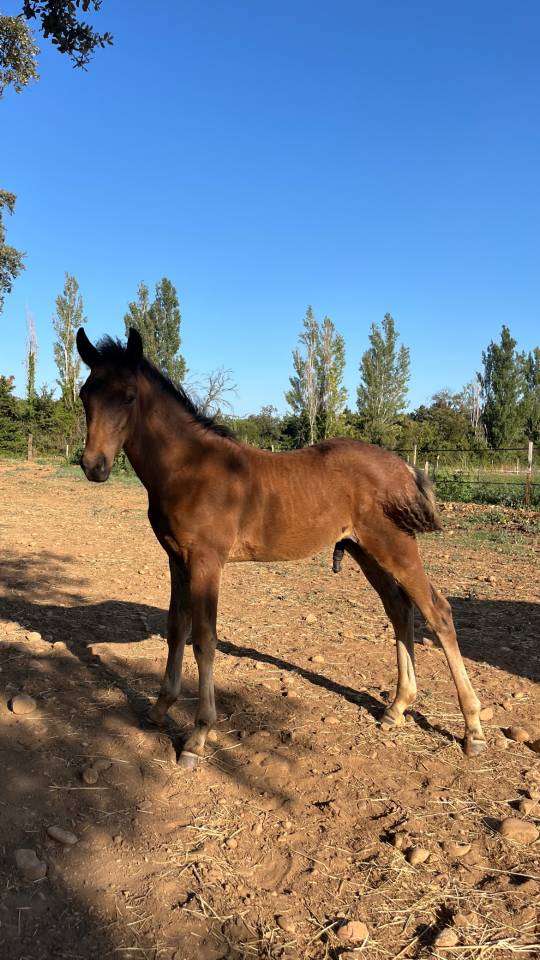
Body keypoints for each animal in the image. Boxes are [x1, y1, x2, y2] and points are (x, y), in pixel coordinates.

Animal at [76, 327, 487, 767]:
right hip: (365, 551)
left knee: (437, 612)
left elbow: (204, 639)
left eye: (129, 396)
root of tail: (404, 466)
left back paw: (473, 729)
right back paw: (396, 708)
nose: (94, 466)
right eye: (85, 394)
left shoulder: (206, 562)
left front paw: (197, 737)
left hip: (396, 547)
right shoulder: (177, 561)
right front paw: (159, 709)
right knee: (399, 609)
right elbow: (176, 630)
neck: (189, 468)